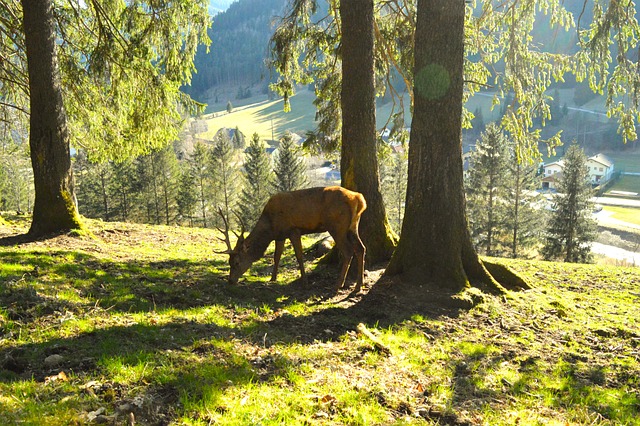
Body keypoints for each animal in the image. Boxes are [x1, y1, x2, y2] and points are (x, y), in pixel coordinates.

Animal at [216, 186, 364, 292]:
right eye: (229, 262)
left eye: (236, 262)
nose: (230, 280)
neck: (270, 226)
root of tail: (358, 198)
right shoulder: (280, 235)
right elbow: (277, 256)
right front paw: (273, 278)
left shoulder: (294, 230)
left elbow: (299, 256)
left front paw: (305, 282)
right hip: (353, 226)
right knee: (361, 248)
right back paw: (358, 285)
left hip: (337, 226)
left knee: (348, 251)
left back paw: (338, 285)